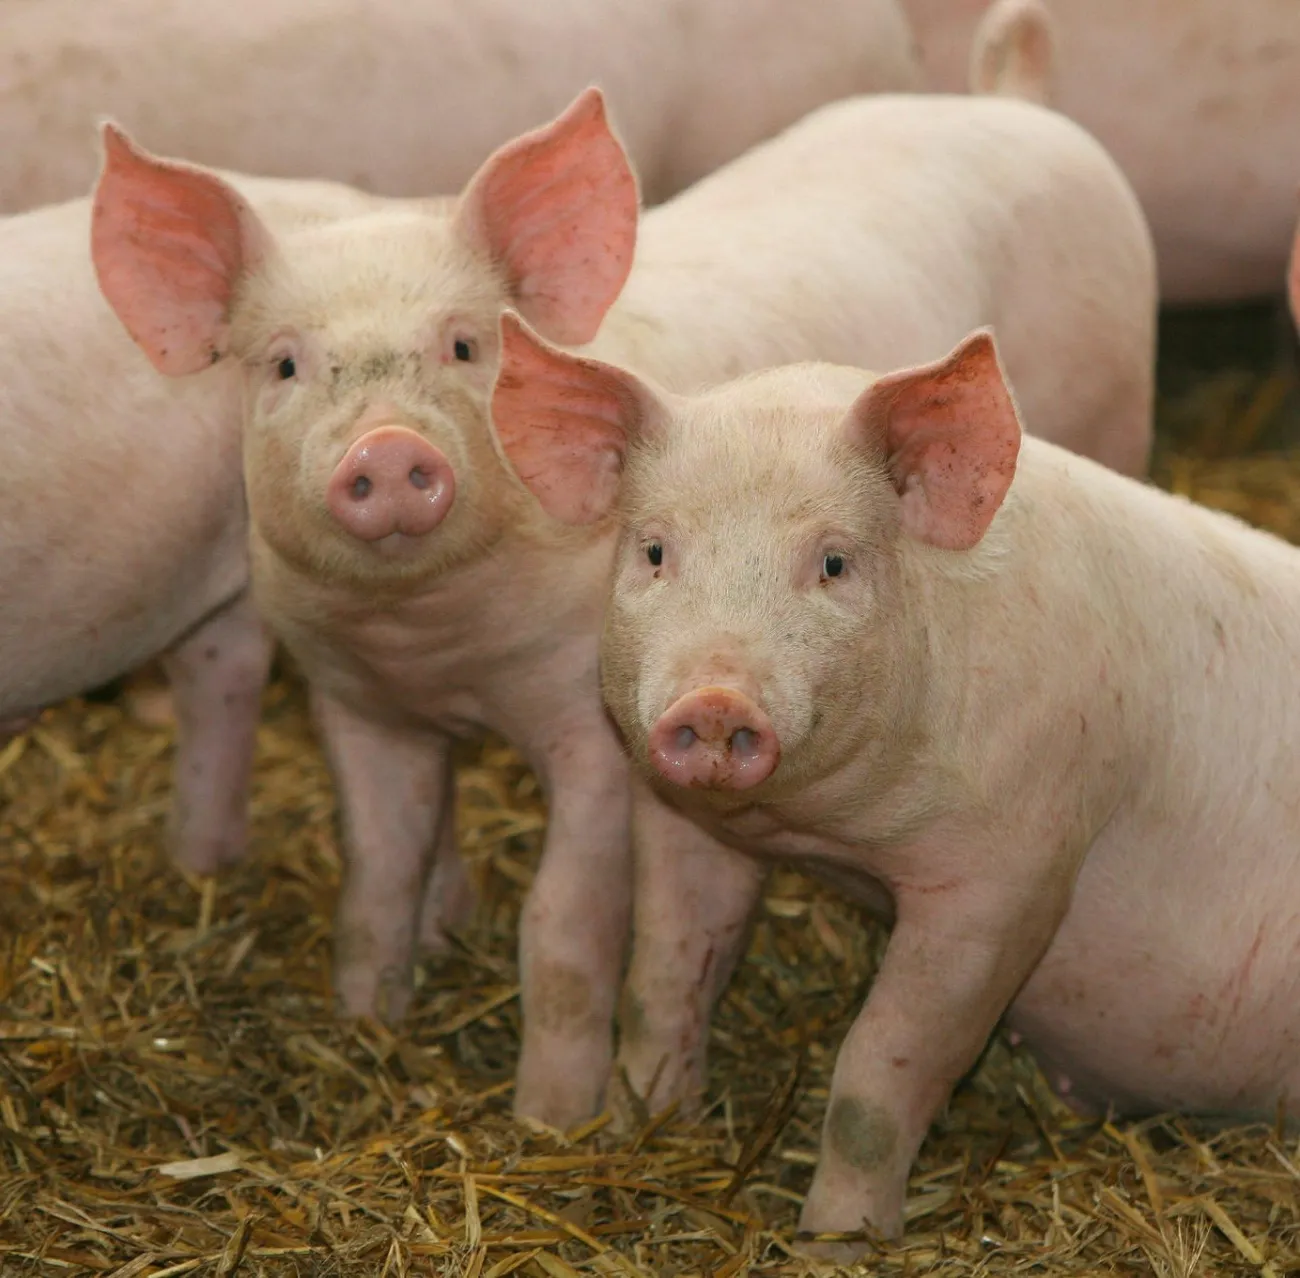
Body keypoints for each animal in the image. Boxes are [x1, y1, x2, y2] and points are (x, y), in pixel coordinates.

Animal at [89, 81, 1153, 1128]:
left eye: (465, 345)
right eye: (282, 365)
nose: (388, 449)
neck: (437, 645)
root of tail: (1011, 101)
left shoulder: (594, 726)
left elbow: (563, 922)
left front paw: (552, 1121)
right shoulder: (355, 702)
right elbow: (376, 876)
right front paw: (367, 1027)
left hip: (1115, 409)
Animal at [490, 314, 1300, 1256]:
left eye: (835, 562)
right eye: (655, 550)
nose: (717, 701)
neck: (830, 833)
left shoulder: (1011, 873)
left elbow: (879, 1072)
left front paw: (832, 1245)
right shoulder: (686, 822)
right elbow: (661, 983)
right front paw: (641, 1129)